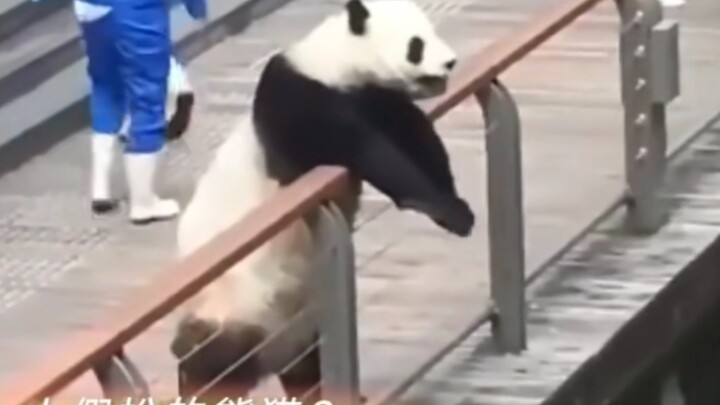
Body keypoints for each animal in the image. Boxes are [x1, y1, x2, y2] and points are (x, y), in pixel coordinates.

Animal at [171, 0, 474, 402]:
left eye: (430, 30)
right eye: (417, 44)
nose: (450, 63)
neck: (336, 60)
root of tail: (272, 349)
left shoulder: (378, 98)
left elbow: (417, 138)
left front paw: (456, 208)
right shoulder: (299, 97)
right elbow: (359, 148)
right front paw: (433, 204)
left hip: (298, 321)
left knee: (305, 367)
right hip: (236, 298)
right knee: (211, 359)